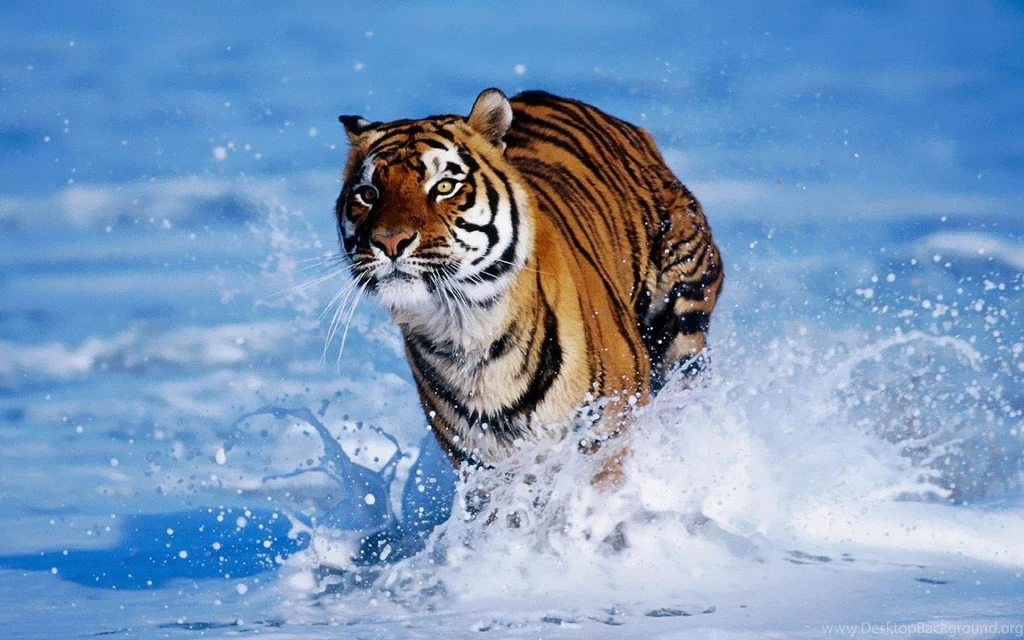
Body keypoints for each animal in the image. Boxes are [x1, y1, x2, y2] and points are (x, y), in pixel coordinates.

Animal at [335, 88, 723, 483]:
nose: (390, 241)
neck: (467, 331)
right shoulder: (482, 468)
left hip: (682, 319)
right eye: (368, 193)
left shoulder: (609, 431)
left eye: (444, 186)